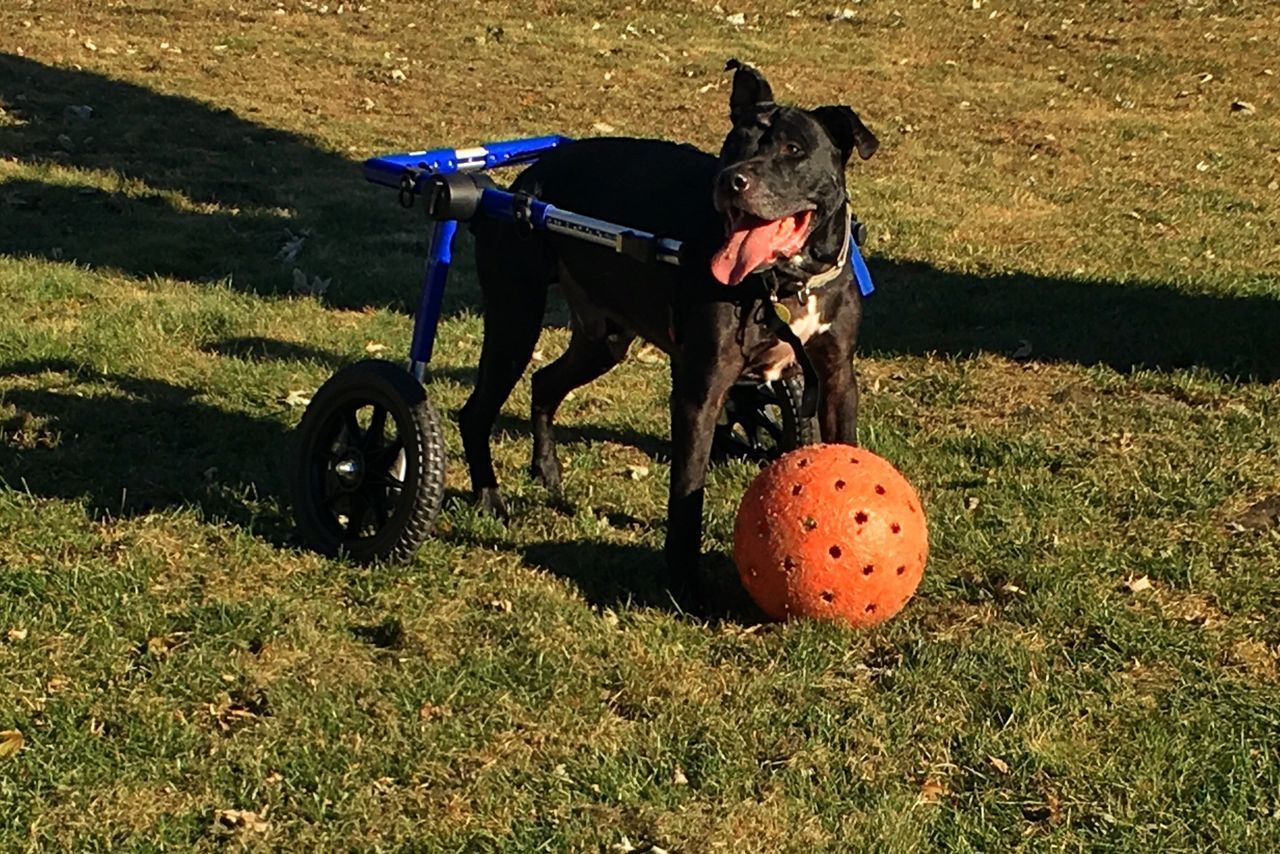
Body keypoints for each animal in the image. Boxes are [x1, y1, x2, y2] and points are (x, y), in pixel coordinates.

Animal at [460, 60, 880, 604]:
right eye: (734, 143)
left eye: (793, 149)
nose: (732, 181)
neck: (786, 283)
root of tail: (524, 181)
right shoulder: (701, 389)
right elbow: (687, 491)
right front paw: (684, 582)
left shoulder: (835, 379)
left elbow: (845, 445)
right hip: (515, 318)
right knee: (476, 411)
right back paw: (489, 497)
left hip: (602, 339)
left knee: (545, 382)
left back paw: (546, 472)